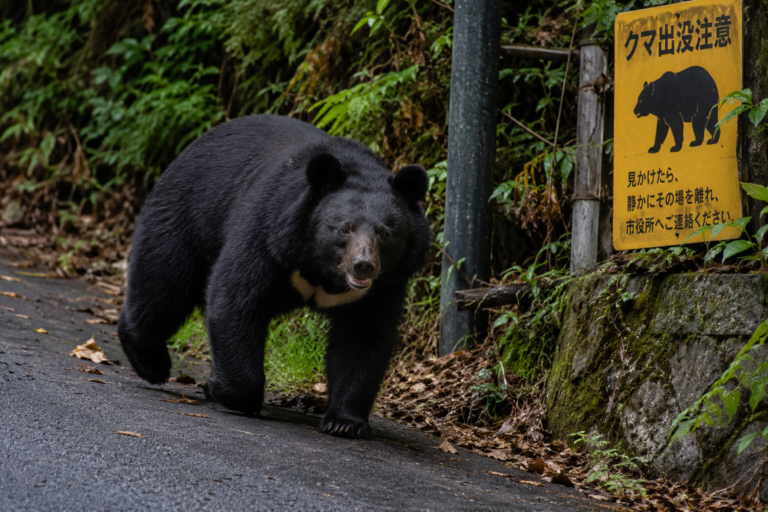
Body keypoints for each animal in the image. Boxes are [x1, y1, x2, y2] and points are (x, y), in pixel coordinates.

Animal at [118, 115, 431, 439]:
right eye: (344, 228)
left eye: (385, 232)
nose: (363, 266)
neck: (322, 269)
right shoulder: (268, 233)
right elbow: (236, 300)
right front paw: (225, 390)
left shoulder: (383, 285)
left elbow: (363, 336)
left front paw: (344, 422)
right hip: (185, 214)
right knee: (163, 288)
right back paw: (150, 362)